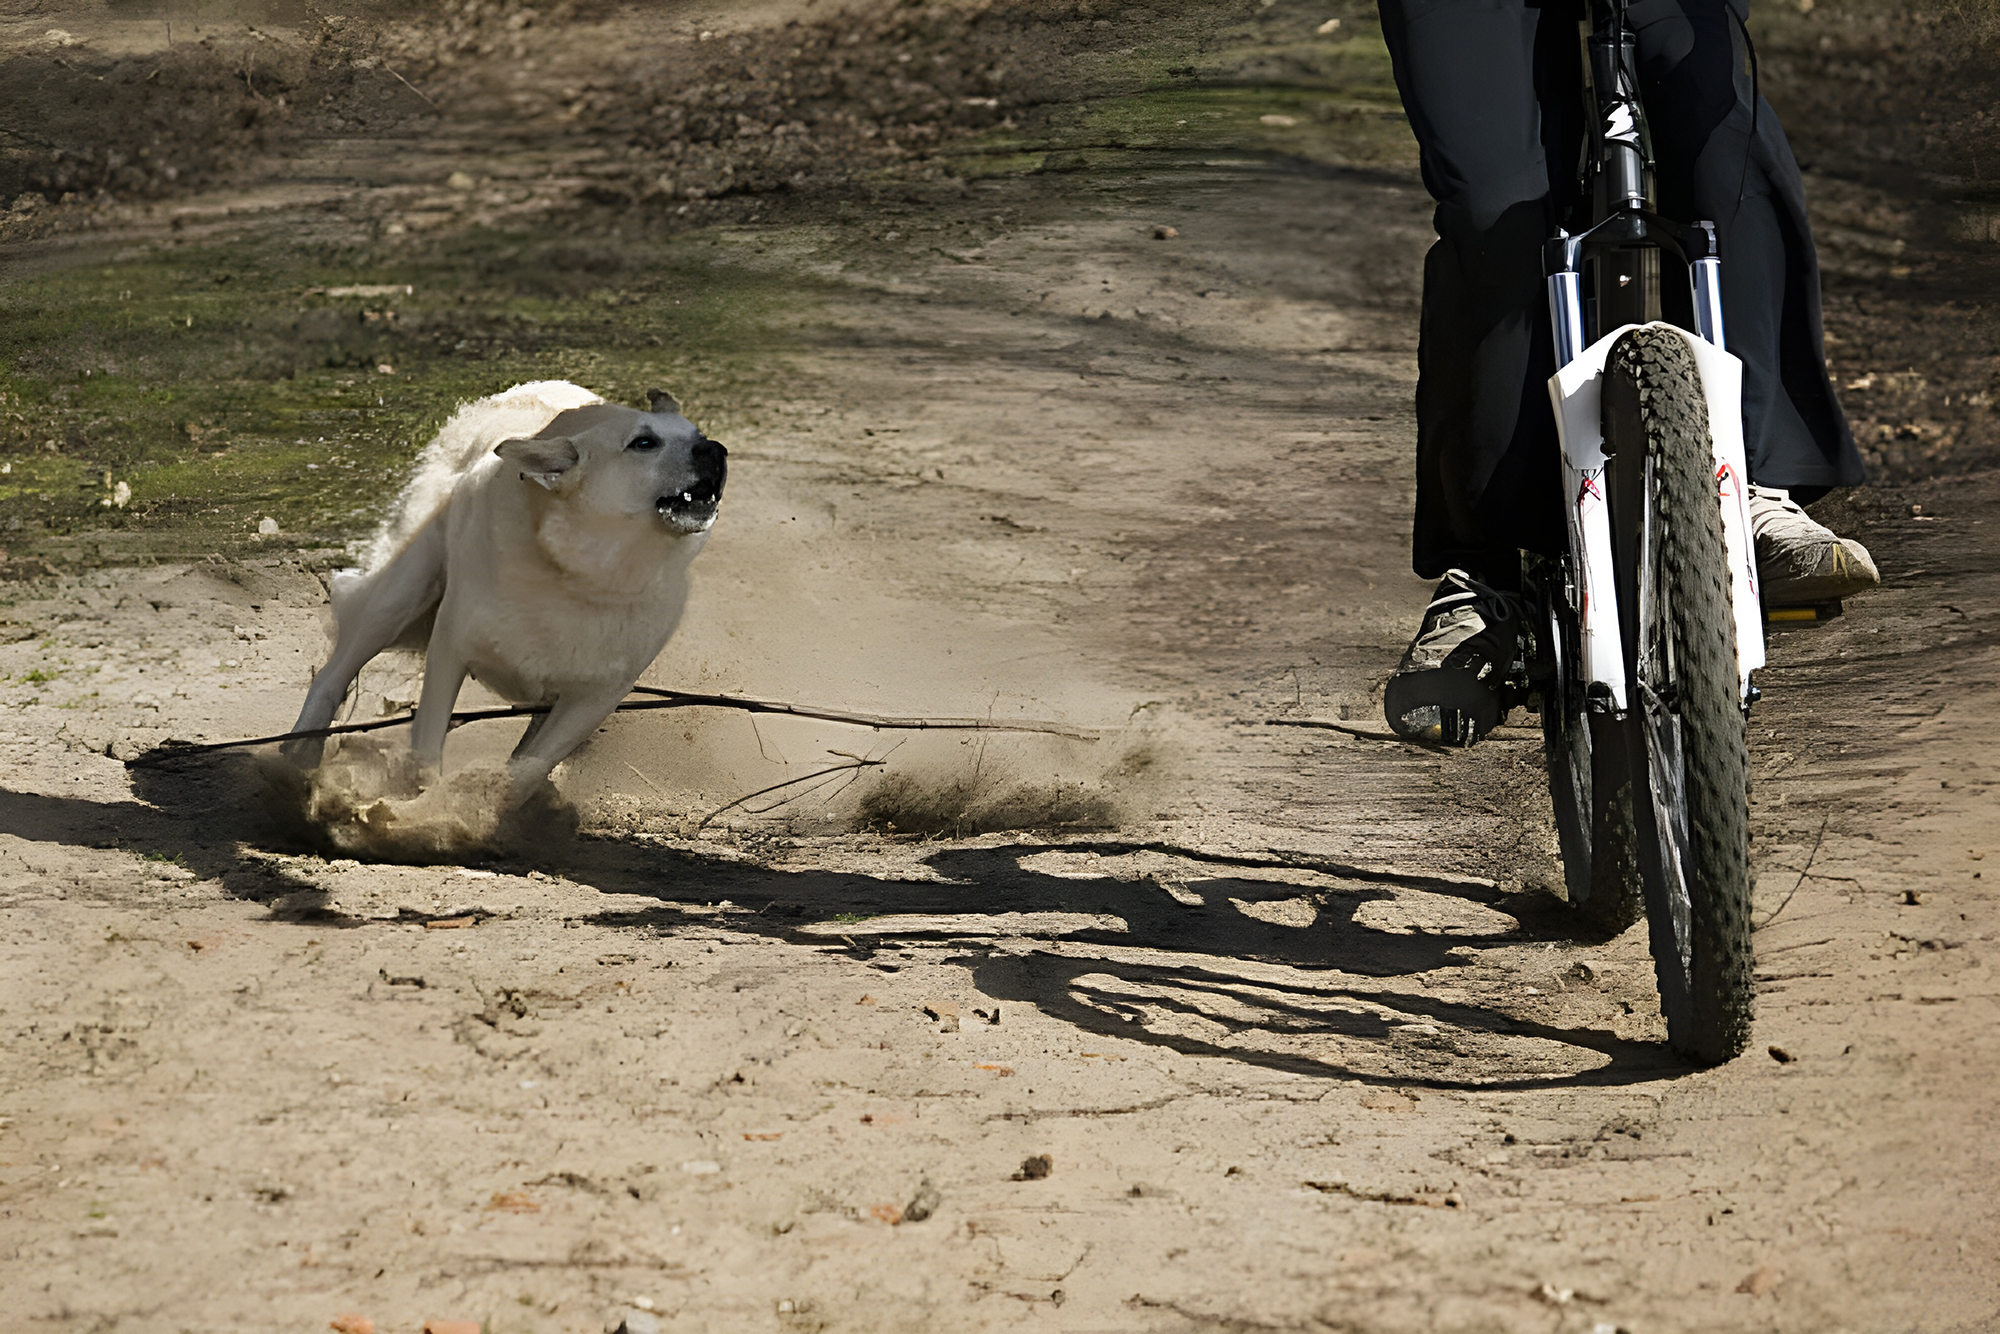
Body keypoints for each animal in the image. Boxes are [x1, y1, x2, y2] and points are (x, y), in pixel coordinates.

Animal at [292, 376, 732, 804]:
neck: (581, 576)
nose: (717, 449)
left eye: (699, 434)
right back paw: (297, 758)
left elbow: (527, 768)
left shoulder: (593, 698)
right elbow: (428, 751)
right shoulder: (450, 649)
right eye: (643, 443)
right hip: (402, 592)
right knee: (332, 675)